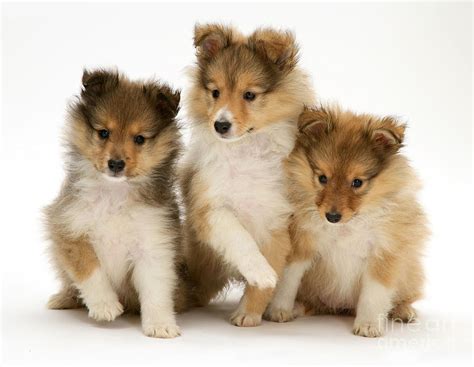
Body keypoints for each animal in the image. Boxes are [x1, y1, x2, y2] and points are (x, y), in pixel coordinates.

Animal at [44, 69, 185, 340]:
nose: (116, 164)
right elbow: (89, 269)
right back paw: (63, 298)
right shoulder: (70, 229)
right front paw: (105, 306)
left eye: (139, 139)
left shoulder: (154, 245)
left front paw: (161, 325)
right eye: (103, 133)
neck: (115, 194)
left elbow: (156, 290)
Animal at [179, 24, 314, 326]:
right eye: (215, 92)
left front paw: (248, 313)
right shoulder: (209, 207)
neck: (245, 150)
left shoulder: (276, 221)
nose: (220, 125)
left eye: (249, 95)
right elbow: (238, 237)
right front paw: (261, 273)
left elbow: (272, 269)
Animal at [266, 105, 430, 338]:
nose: (332, 217)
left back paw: (404, 312)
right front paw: (279, 310)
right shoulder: (301, 244)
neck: (346, 226)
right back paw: (298, 307)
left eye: (357, 182)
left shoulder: (384, 252)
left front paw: (368, 326)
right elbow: (288, 281)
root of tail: (342, 307)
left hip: (410, 274)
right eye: (322, 178)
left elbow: (374, 293)